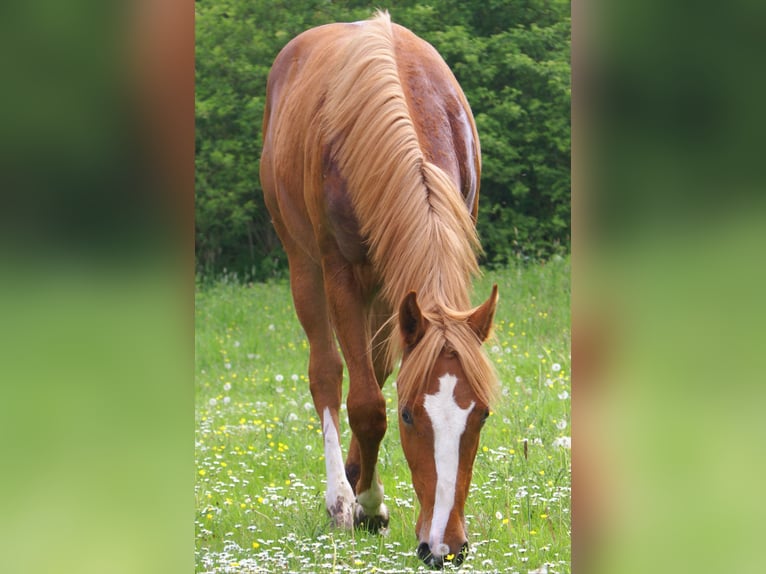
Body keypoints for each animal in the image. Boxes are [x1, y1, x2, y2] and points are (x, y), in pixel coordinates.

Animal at [260, 11, 498, 568]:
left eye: (481, 415)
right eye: (410, 416)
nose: (445, 547)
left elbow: (380, 377)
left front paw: (369, 491)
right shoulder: (342, 275)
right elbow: (367, 405)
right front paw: (365, 504)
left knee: (375, 361)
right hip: (303, 263)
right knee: (327, 373)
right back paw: (341, 498)